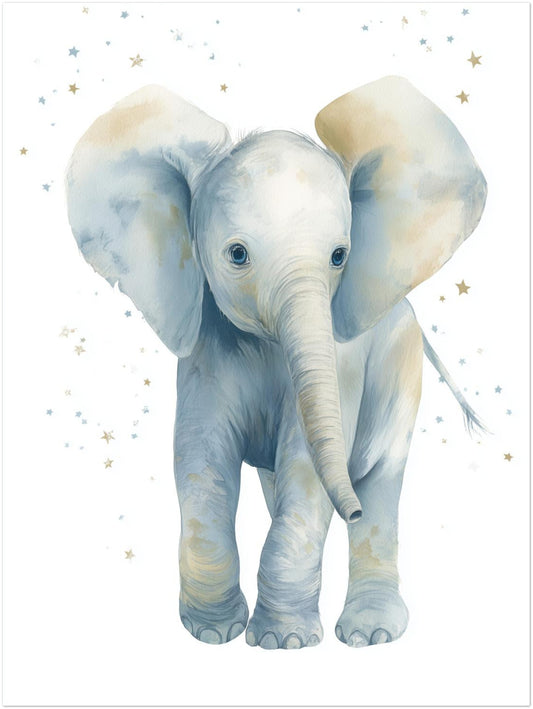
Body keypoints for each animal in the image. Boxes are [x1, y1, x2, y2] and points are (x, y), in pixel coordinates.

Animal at [66, 76, 487, 649]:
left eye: (339, 256)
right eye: (237, 254)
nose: (349, 507)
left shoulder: (341, 359)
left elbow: (306, 467)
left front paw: (281, 643)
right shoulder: (206, 348)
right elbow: (200, 460)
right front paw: (213, 632)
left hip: (401, 363)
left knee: (380, 476)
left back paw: (370, 631)